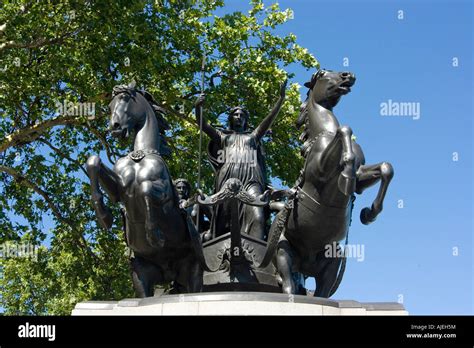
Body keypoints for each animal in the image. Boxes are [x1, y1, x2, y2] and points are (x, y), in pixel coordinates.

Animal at [85, 81, 204, 296]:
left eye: (124, 99)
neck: (140, 156)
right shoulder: (118, 189)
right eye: (109, 106)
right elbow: (93, 161)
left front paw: (154, 235)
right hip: (140, 274)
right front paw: (104, 215)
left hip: (194, 271)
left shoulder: (163, 190)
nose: (115, 128)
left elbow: (146, 189)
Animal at [264, 69, 394, 298]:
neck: (325, 132)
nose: (348, 75)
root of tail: (305, 266)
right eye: (323, 73)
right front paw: (346, 176)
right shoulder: (321, 171)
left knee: (321, 293)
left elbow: (386, 168)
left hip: (332, 262)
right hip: (282, 253)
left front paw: (368, 214)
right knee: (288, 286)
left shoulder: (362, 179)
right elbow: (345, 130)